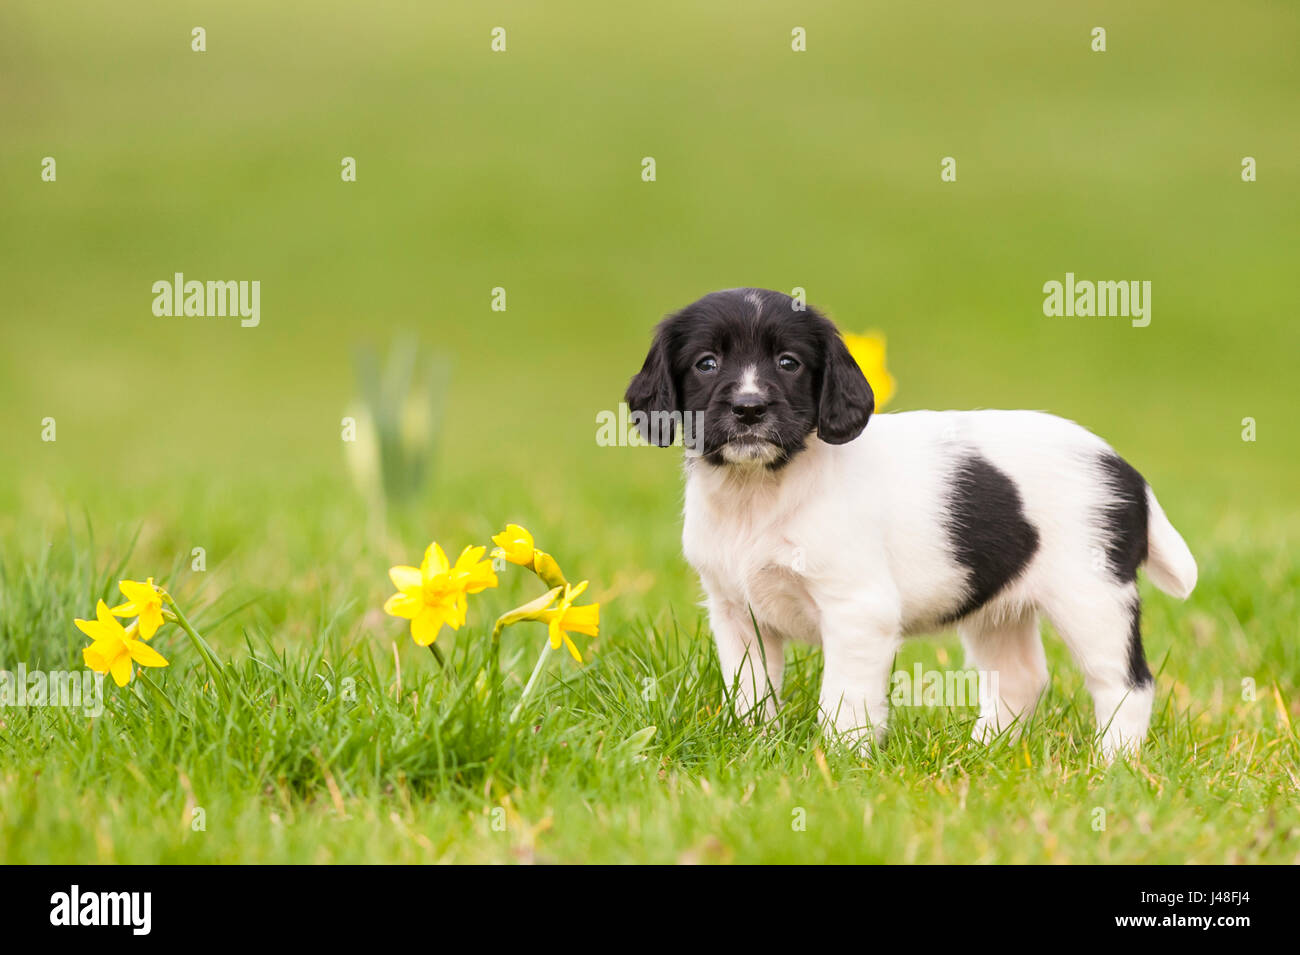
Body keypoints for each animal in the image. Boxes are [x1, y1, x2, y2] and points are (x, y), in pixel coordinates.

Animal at [629, 287, 1196, 758]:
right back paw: (982, 753)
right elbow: (750, 692)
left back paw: (1113, 764)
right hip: (998, 608)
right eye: (706, 363)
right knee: (1020, 677)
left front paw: (838, 760)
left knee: (1126, 683)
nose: (750, 408)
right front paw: (755, 745)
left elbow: (845, 698)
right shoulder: (736, 613)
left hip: (1092, 597)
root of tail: (1124, 468)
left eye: (789, 363)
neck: (762, 490)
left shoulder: (858, 610)